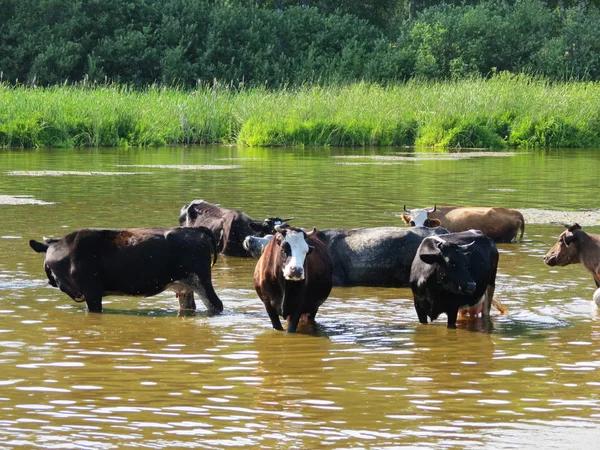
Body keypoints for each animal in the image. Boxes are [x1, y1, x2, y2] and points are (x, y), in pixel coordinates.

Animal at [29, 227, 224, 314]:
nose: (51, 281)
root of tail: (195, 229)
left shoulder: (92, 291)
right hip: (185, 287)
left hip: (201, 280)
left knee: (216, 305)